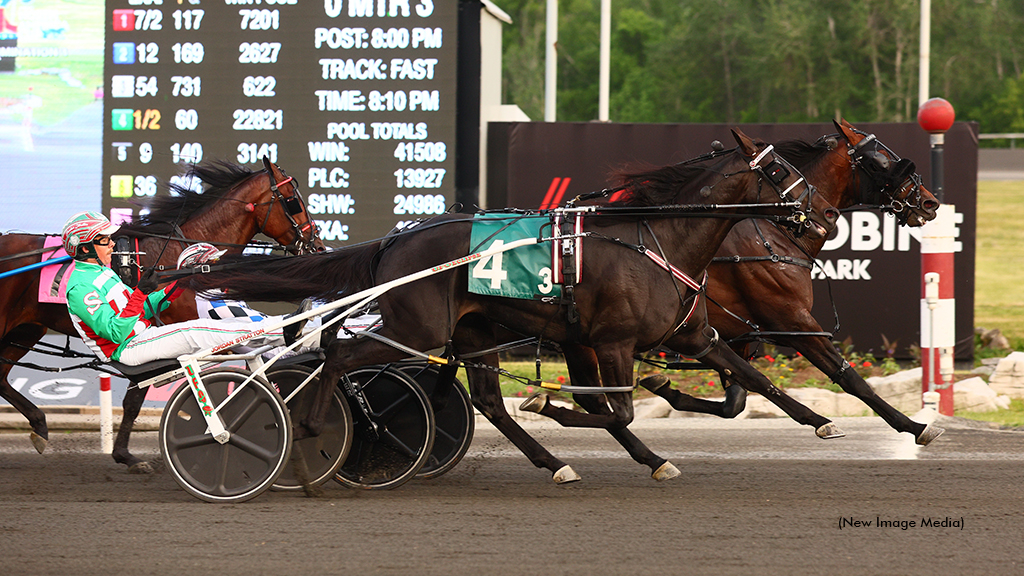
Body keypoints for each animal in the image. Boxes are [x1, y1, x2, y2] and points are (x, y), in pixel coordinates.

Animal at [190, 129, 839, 479]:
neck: (657, 238)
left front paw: (820, 421)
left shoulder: (690, 336)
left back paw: (553, 463)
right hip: (417, 323)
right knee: (336, 353)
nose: (824, 214)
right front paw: (552, 403)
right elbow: (618, 410)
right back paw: (307, 429)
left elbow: (753, 377)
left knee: (486, 402)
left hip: (472, 331)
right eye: (780, 168)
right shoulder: (612, 340)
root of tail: (396, 241)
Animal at [458, 117, 942, 479]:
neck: (766, 232)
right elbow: (847, 377)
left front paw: (664, 386)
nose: (930, 202)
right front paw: (915, 426)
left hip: (568, 335)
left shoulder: (733, 333)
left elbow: (738, 397)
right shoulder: (790, 319)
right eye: (882, 159)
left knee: (576, 398)